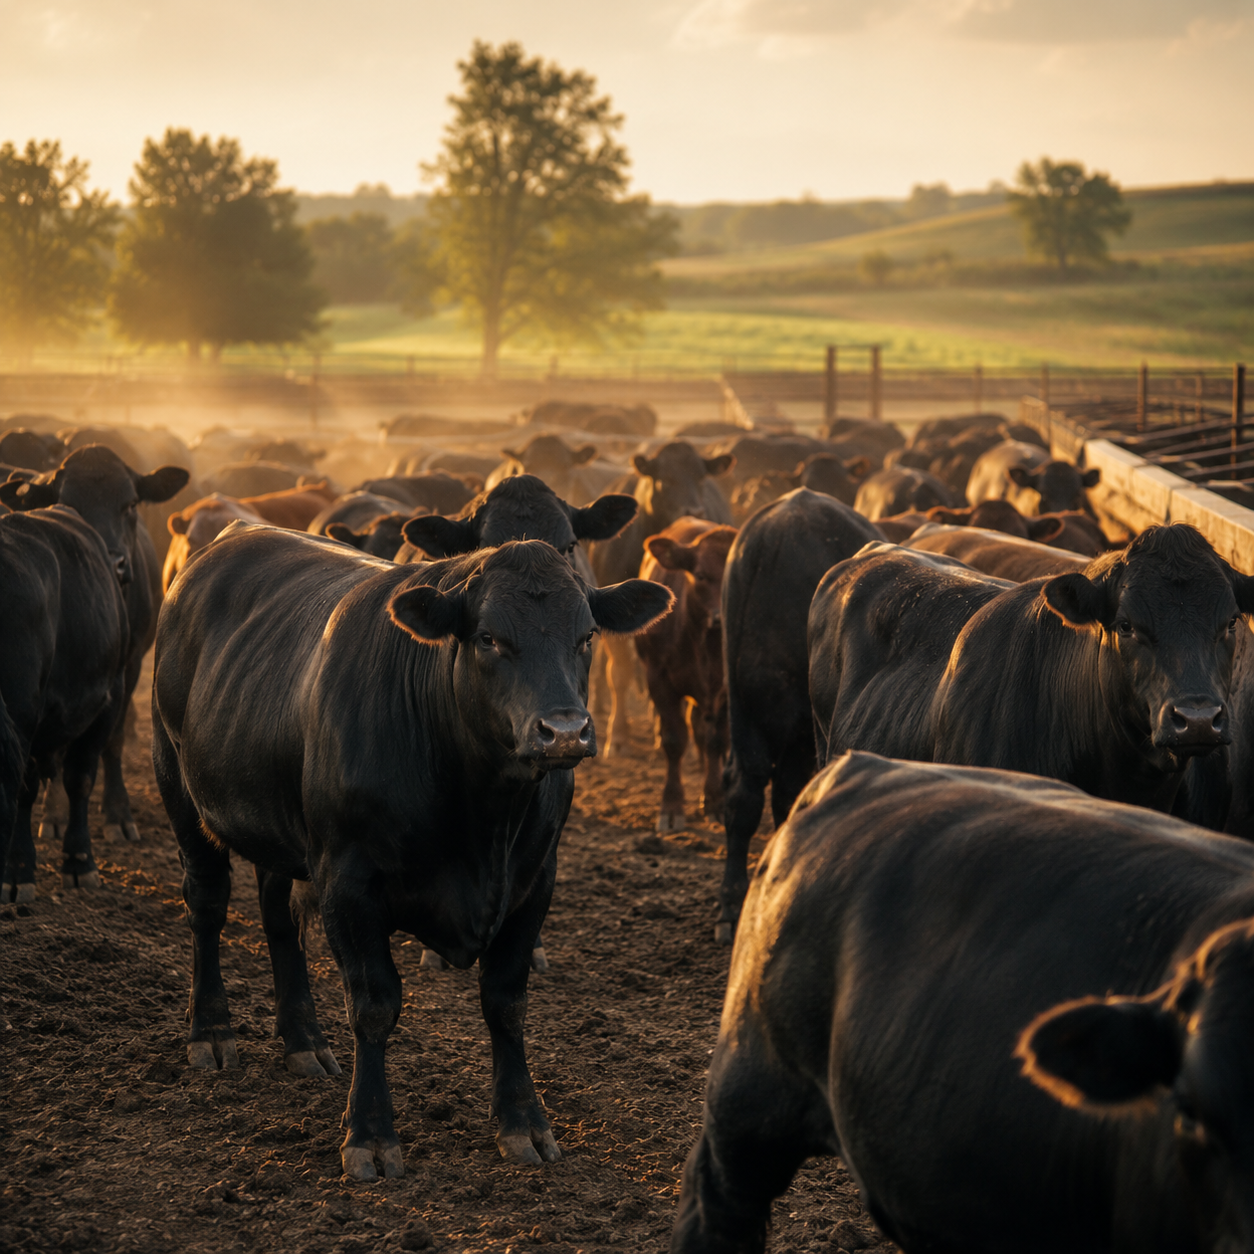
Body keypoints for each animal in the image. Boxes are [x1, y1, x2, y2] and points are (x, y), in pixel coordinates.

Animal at [152, 526, 673, 1181]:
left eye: (586, 636)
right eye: (488, 638)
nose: (564, 731)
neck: (483, 815)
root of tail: (233, 535)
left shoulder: (534, 882)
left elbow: (506, 1003)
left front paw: (524, 1123)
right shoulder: (348, 882)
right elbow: (375, 1004)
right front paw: (370, 1135)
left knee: (278, 918)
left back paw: (304, 1042)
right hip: (178, 783)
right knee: (207, 904)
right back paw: (211, 1032)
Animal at [635, 519, 738, 833]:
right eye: (701, 575)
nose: (721, 616)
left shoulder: (725, 691)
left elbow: (717, 740)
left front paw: (716, 801)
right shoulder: (659, 681)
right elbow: (674, 740)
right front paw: (671, 807)